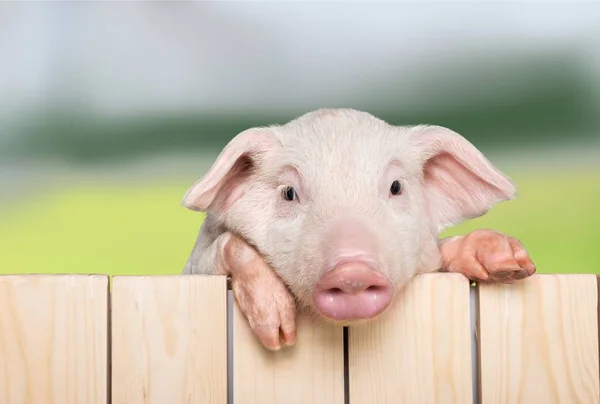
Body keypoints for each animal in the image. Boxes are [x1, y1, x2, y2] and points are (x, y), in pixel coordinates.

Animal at [180, 108, 536, 350]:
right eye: (289, 193)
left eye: (396, 187)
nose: (352, 269)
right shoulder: (196, 264)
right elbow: (229, 244)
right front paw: (280, 336)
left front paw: (511, 263)